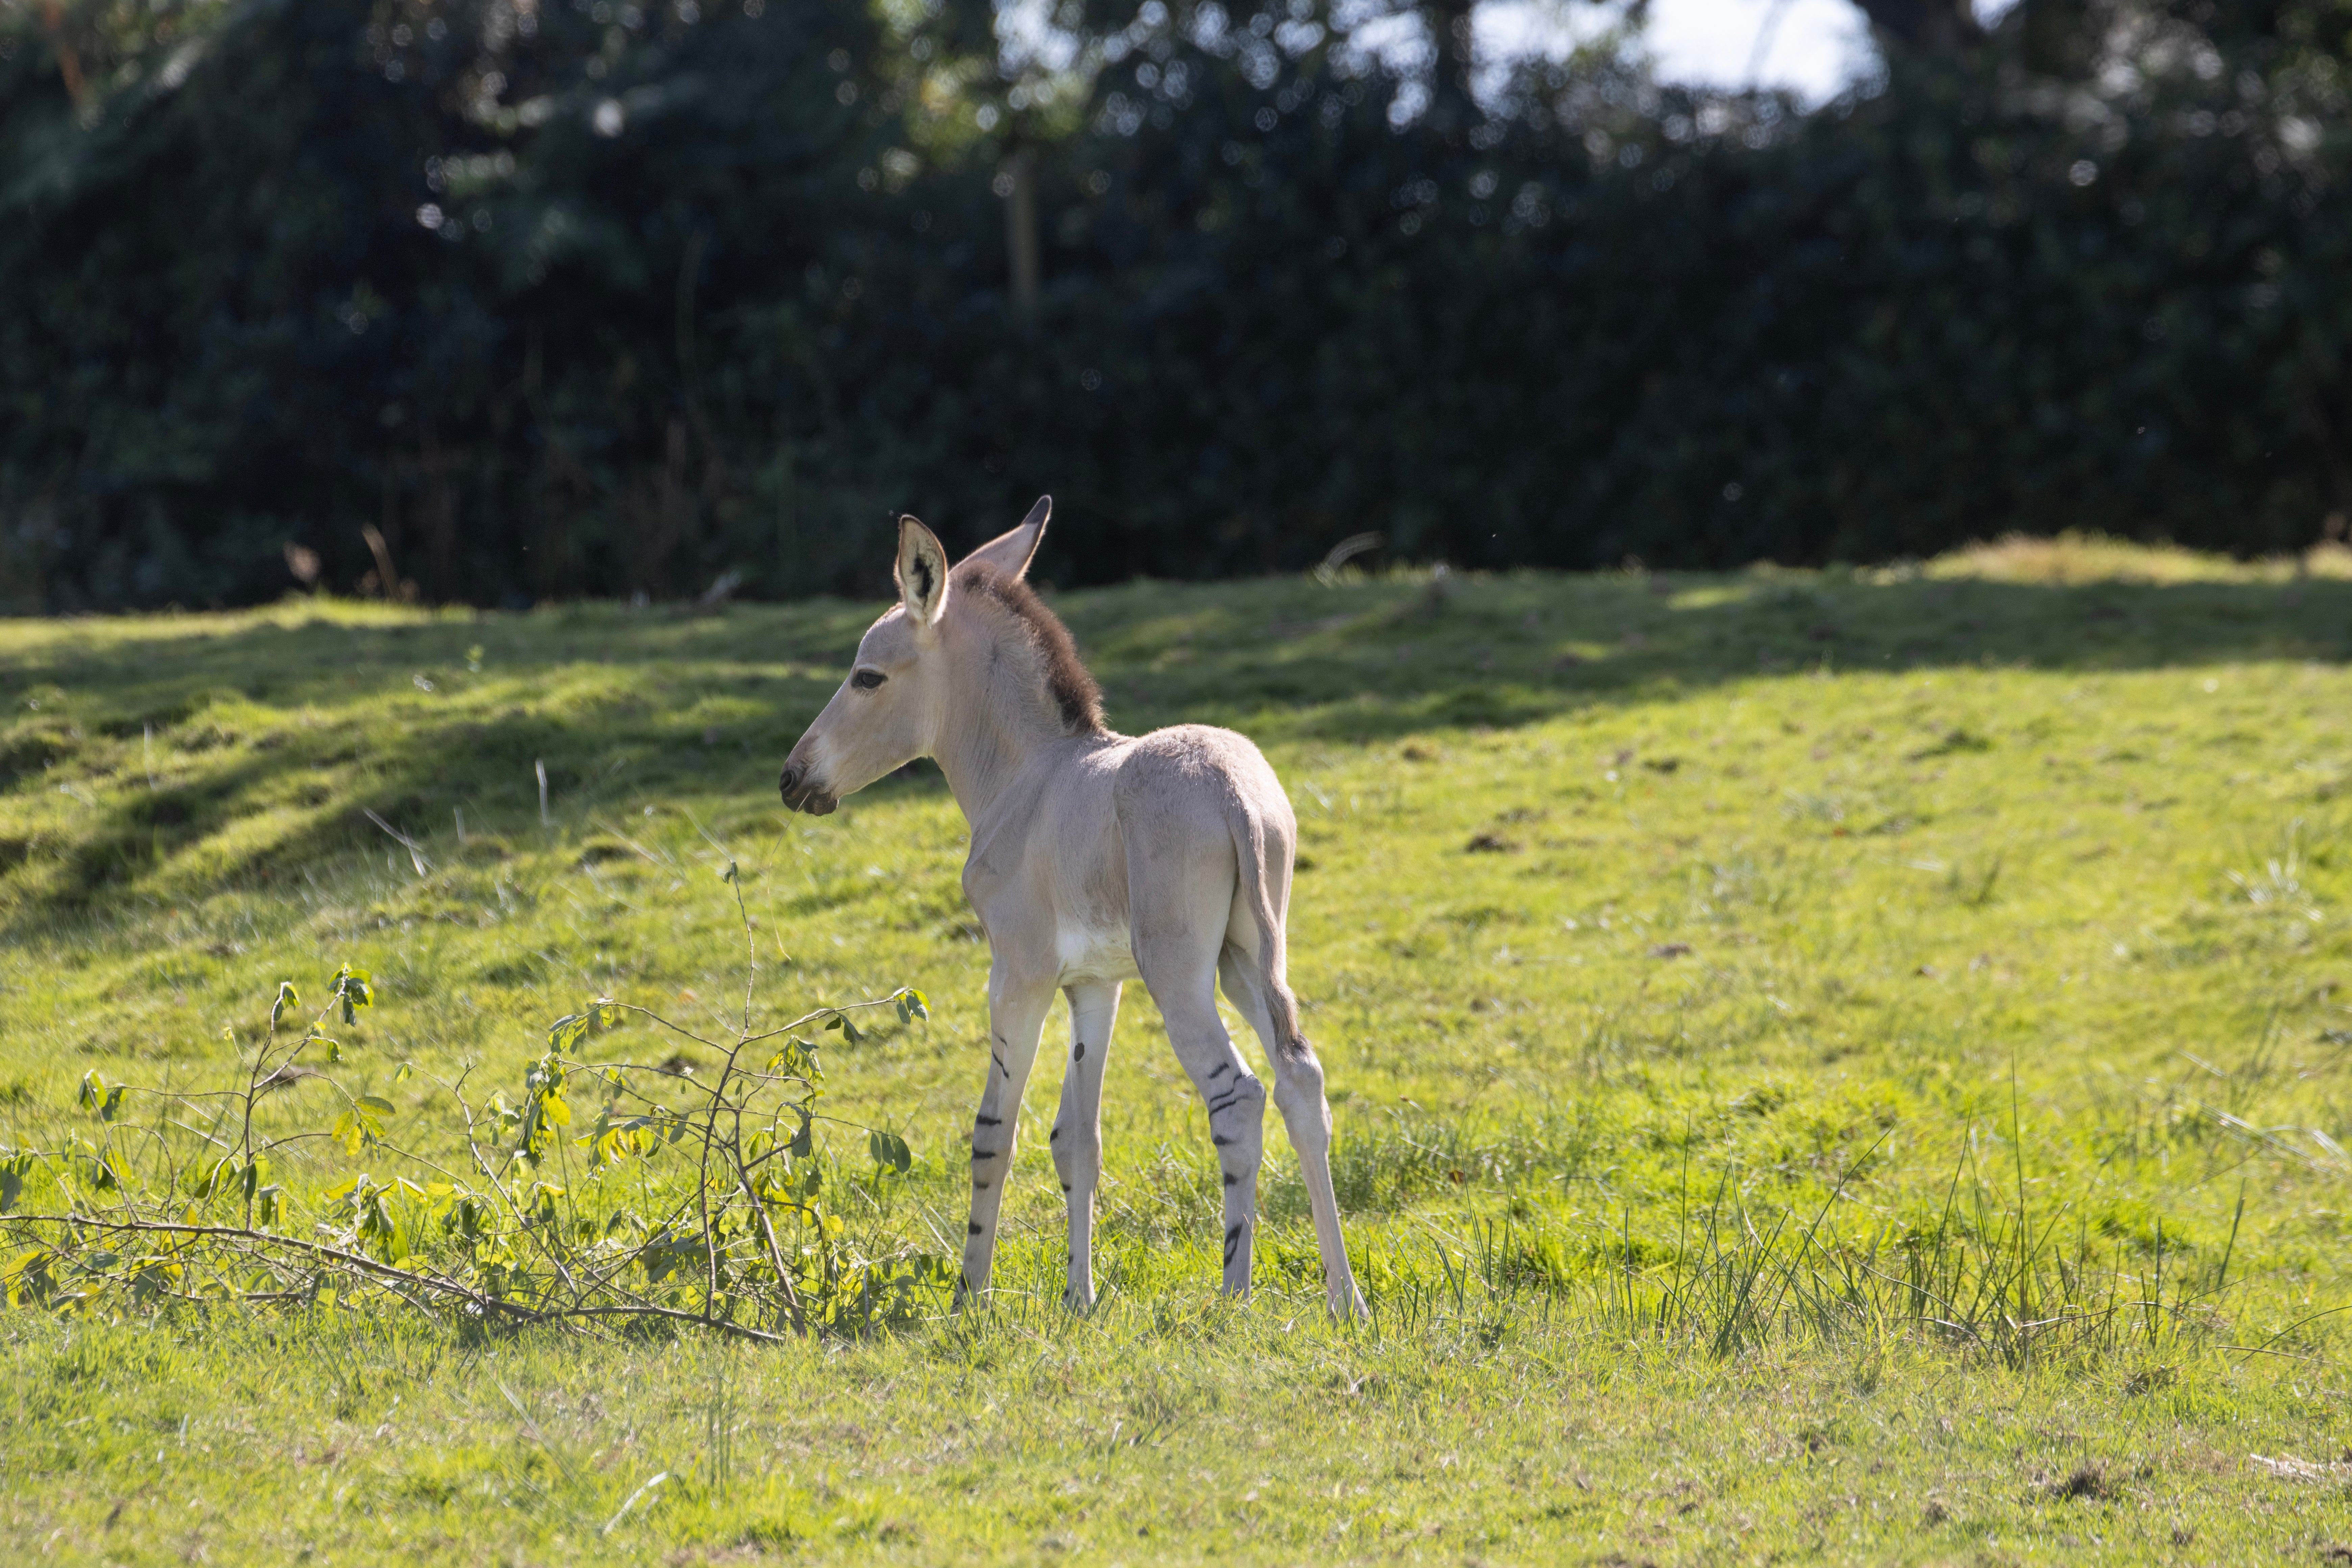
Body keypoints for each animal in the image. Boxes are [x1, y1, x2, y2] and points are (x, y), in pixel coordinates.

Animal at [776, 500, 1364, 1316]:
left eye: (867, 677)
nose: (792, 778)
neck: (1030, 778)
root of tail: (1231, 789)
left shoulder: (1018, 976)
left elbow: (995, 1131)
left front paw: (971, 1297)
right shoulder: (1095, 983)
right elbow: (1077, 1138)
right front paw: (1079, 1298)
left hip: (1181, 975)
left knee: (1238, 1095)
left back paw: (1234, 1295)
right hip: (1249, 961)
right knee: (1299, 1081)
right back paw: (1346, 1300)